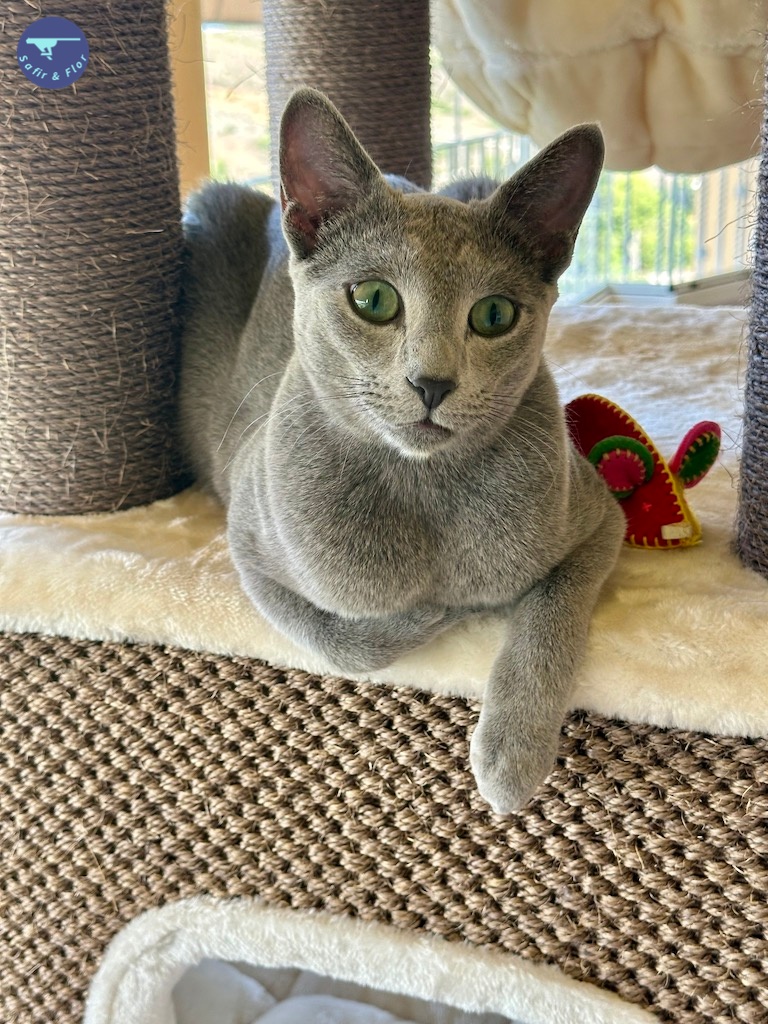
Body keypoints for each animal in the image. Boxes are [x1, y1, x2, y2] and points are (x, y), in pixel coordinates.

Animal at [178, 88, 625, 814]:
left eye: (494, 315)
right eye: (373, 299)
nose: (432, 382)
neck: (425, 493)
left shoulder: (596, 516)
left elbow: (550, 617)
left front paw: (512, 755)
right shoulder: (248, 538)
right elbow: (341, 641)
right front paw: (435, 613)